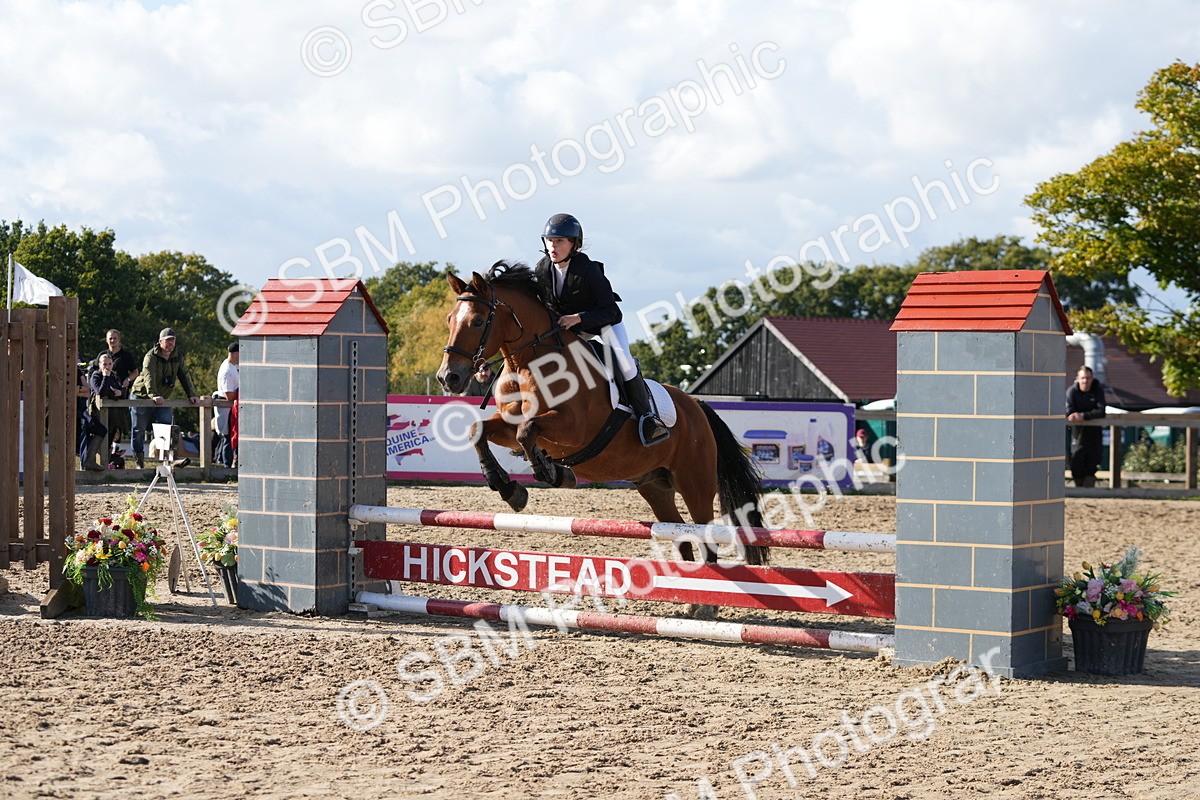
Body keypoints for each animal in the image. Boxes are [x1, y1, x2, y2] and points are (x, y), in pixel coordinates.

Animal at [436, 262, 768, 571]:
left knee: (705, 537)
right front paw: (508, 488)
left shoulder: (573, 428)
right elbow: (479, 430)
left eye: (478, 321)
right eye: (450, 319)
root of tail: (697, 406)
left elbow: (528, 431)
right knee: (681, 534)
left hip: (694, 482)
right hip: (654, 484)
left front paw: (553, 473)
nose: (448, 377)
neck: (528, 364)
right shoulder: (508, 424)